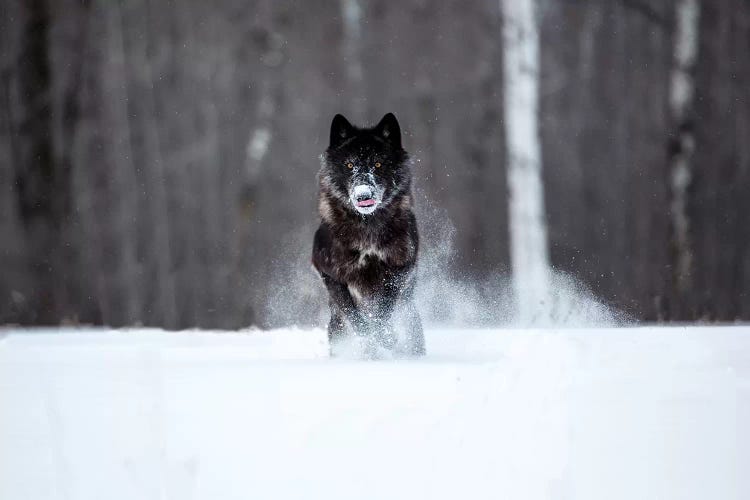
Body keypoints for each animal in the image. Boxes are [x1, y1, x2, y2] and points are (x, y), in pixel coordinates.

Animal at [312, 113, 428, 356]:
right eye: (349, 165)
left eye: (378, 164)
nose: (363, 195)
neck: (367, 228)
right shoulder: (329, 274)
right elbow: (354, 314)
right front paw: (377, 337)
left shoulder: (400, 271)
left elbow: (384, 310)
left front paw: (386, 336)